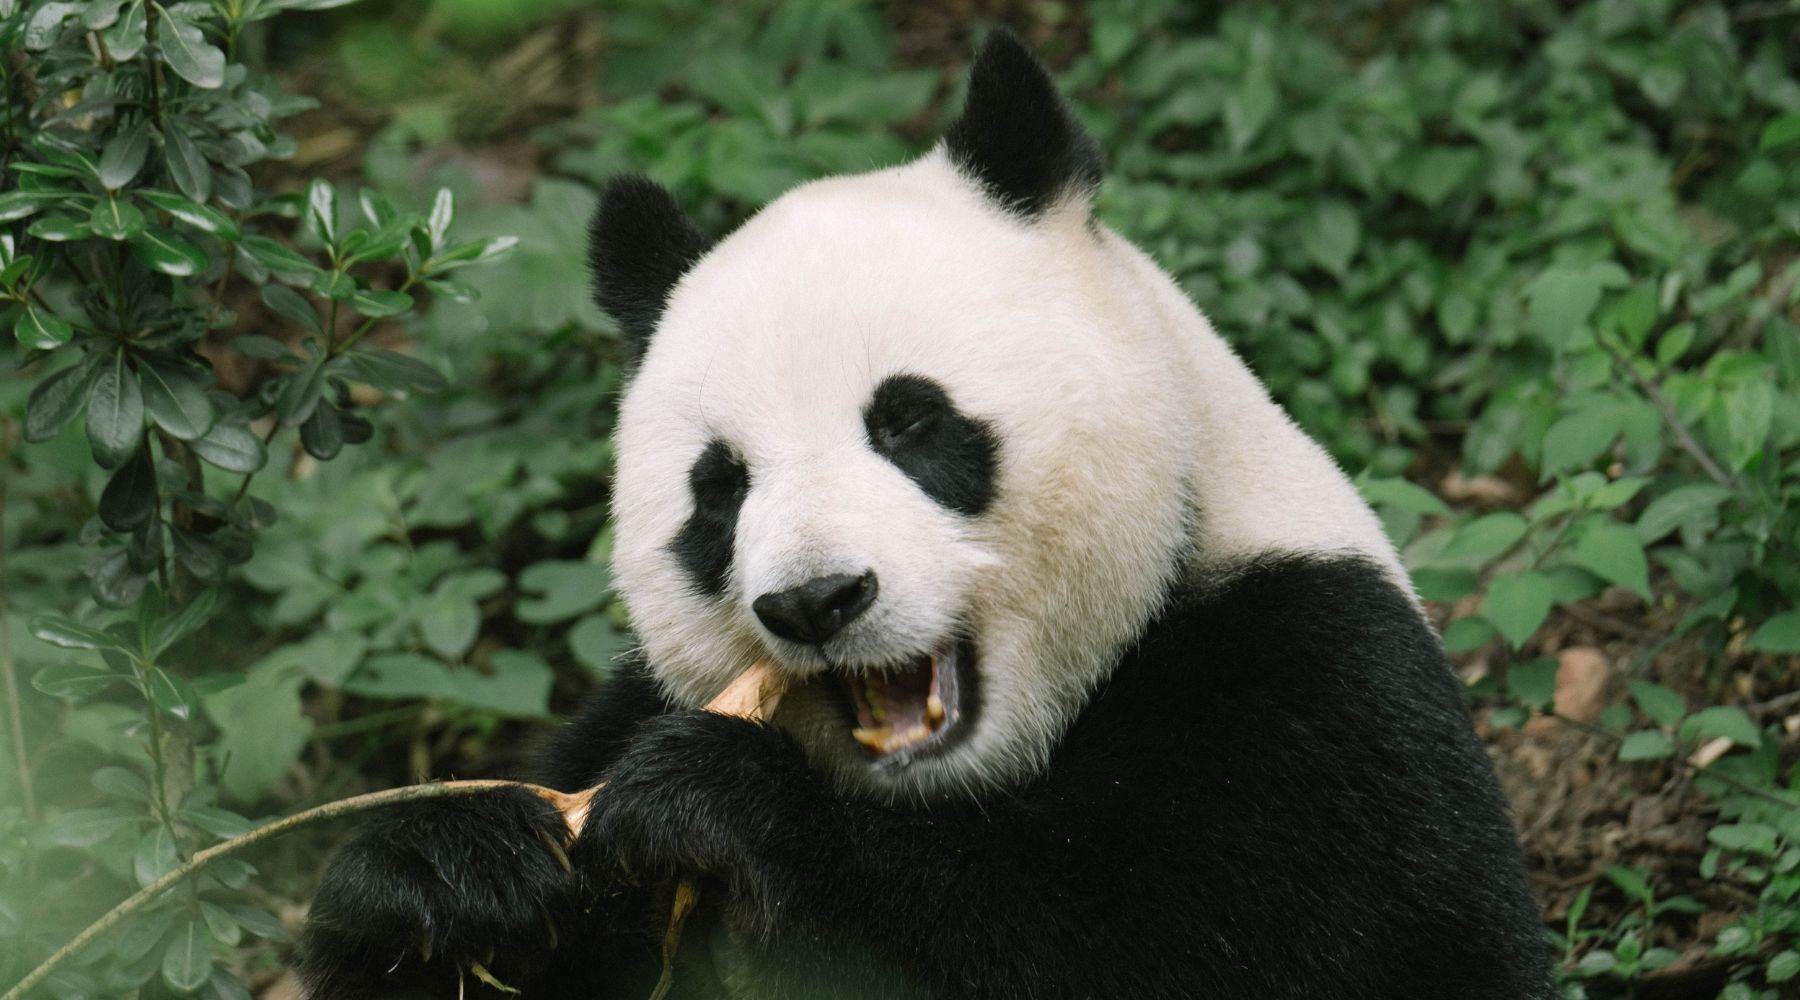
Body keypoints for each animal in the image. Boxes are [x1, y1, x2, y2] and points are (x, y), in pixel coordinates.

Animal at [302, 29, 1555, 1000]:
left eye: (909, 423)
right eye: (721, 488)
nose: (817, 600)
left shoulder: (1316, 690)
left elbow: (1182, 945)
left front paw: (727, 805)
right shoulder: (626, 713)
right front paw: (447, 875)